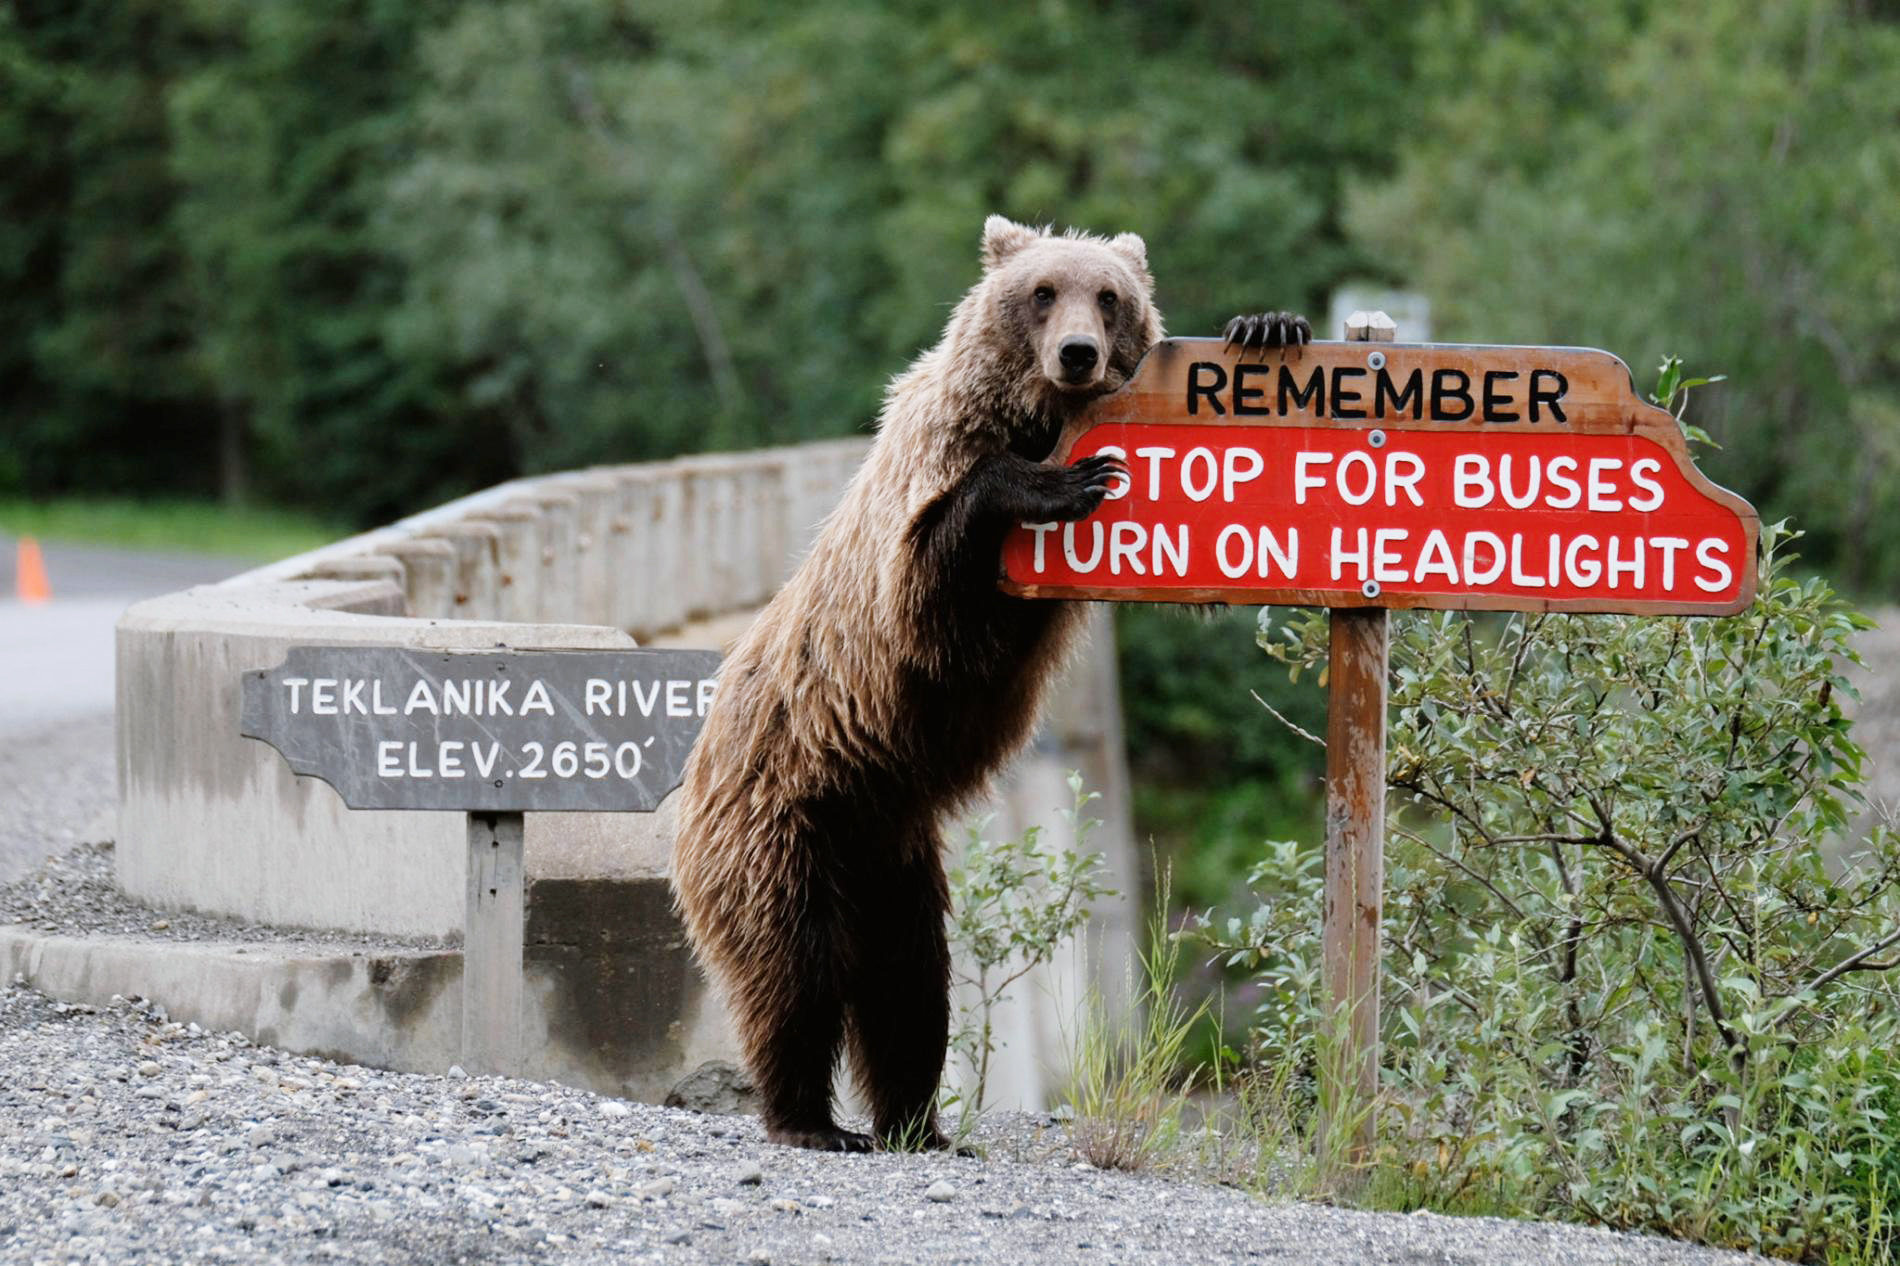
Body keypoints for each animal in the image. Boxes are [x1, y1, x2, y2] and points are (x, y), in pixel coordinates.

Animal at [668, 214, 1307, 1140]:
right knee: (794, 970)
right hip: (784, 818)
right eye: (1041, 291)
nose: (1077, 352)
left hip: (894, 860)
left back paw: (917, 1122)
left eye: (1108, 295)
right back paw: (811, 1118)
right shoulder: (921, 500)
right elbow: (933, 586)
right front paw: (1065, 480)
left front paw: (1267, 326)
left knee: (910, 987)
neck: (1035, 414)